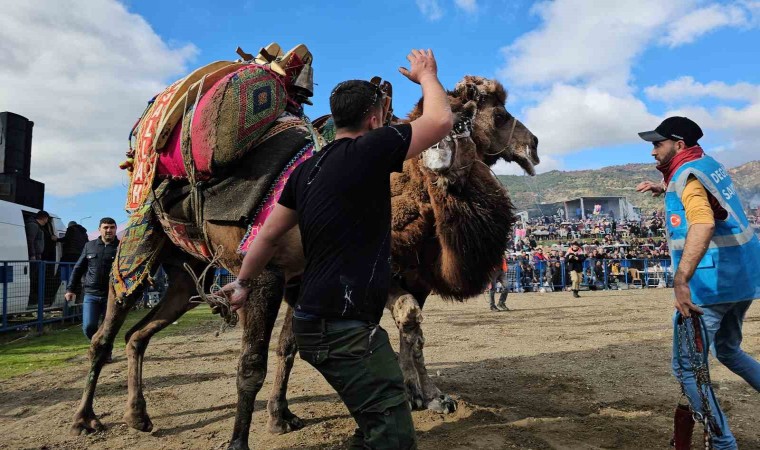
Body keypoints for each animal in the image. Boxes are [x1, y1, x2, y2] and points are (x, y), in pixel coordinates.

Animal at [70, 74, 536, 450]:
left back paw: (138, 416)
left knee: (138, 336)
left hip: (184, 278)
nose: (532, 146)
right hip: (136, 249)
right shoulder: (269, 275)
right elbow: (252, 364)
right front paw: (241, 440)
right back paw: (85, 419)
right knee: (105, 334)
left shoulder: (318, 278)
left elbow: (295, 346)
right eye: (500, 113)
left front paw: (283, 417)